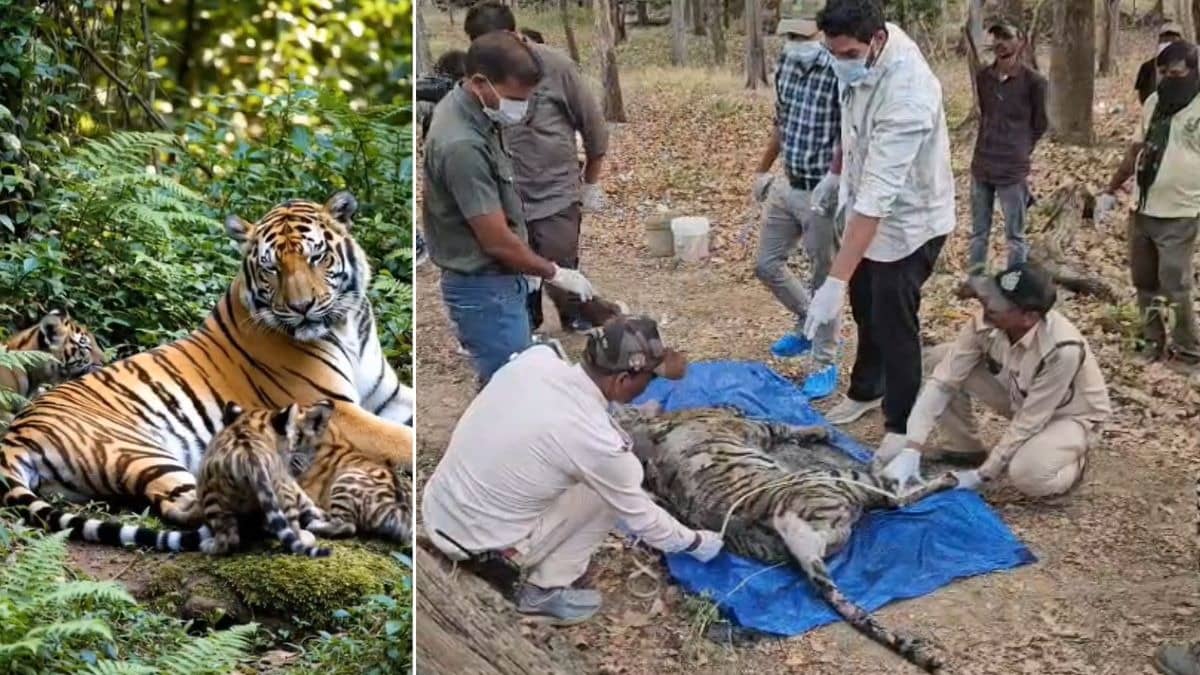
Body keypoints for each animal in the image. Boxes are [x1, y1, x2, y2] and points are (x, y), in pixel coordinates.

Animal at [611, 402, 963, 674]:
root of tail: (797, 540)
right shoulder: (754, 428)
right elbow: (781, 424)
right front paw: (819, 431)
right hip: (843, 478)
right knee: (894, 496)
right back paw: (943, 478)